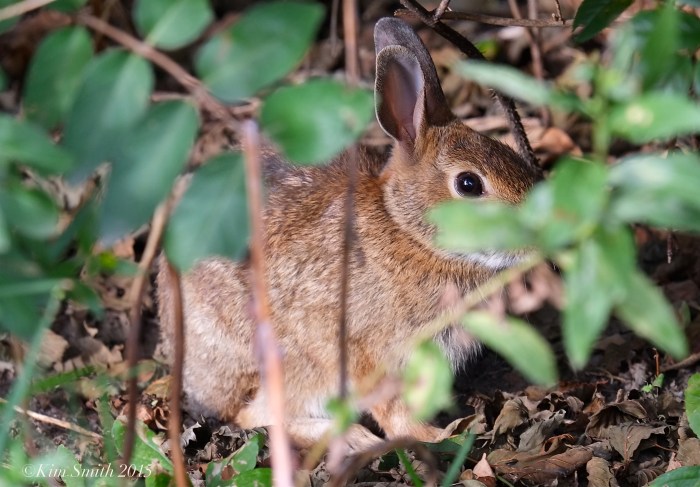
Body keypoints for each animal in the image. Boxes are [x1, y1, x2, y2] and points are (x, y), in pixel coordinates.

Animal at [157, 17, 541, 450]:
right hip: (296, 365)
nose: (542, 230)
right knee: (256, 414)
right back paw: (355, 439)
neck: (409, 233)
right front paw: (436, 435)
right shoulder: (367, 353)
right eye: (469, 185)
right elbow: (393, 408)